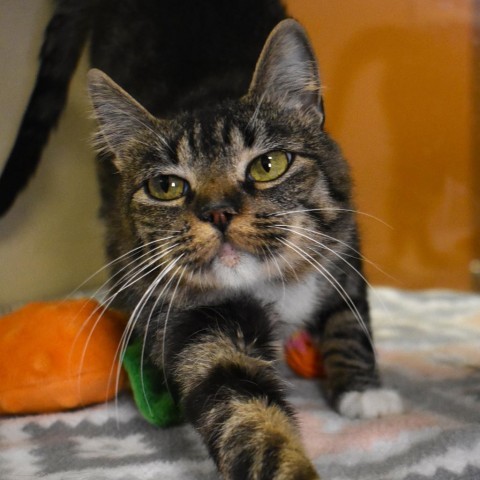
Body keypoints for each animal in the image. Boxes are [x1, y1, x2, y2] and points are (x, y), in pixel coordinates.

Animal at [3, 1, 404, 478]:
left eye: (269, 164)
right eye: (166, 186)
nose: (218, 212)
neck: (269, 284)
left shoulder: (342, 238)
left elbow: (348, 316)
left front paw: (362, 390)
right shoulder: (193, 315)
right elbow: (240, 405)